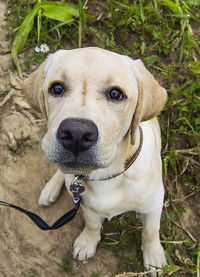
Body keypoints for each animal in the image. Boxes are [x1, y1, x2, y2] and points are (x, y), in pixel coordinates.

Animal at [23, 47, 167, 274]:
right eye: (57, 88)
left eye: (116, 94)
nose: (76, 134)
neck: (106, 176)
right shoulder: (86, 205)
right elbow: (92, 224)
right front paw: (87, 242)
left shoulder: (154, 203)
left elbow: (151, 231)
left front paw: (153, 257)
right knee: (62, 172)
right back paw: (50, 189)